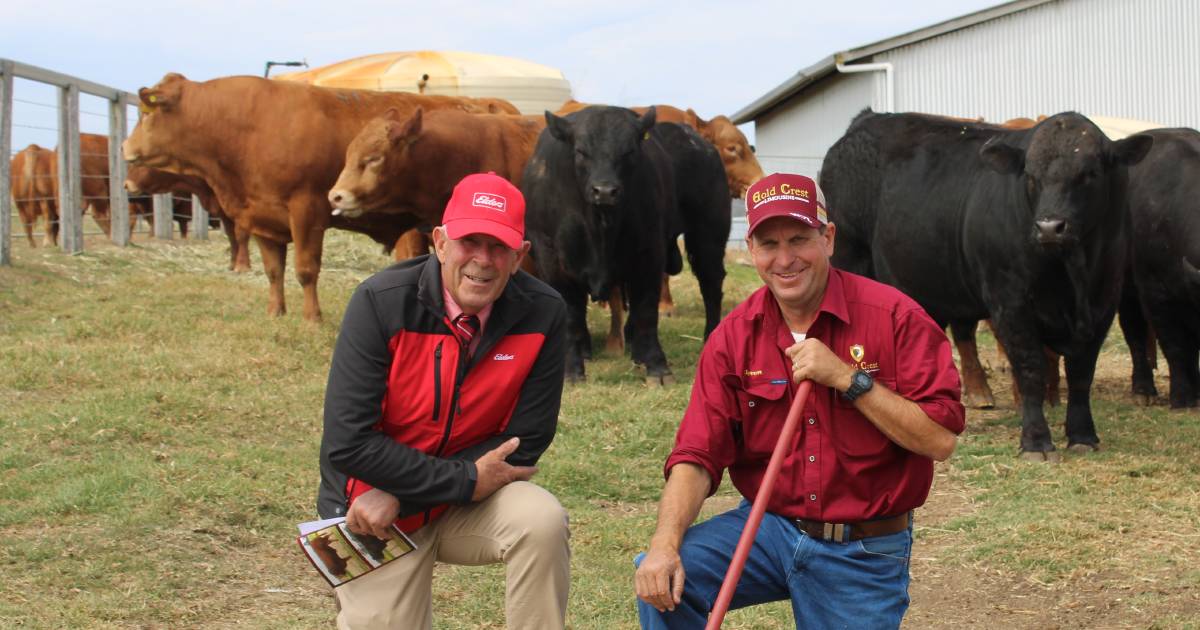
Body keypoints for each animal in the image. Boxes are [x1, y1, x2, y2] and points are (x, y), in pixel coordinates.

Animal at [520, 106, 724, 384]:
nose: (605, 191)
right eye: (581, 151)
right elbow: (571, 315)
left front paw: (657, 368)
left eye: (629, 151)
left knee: (711, 286)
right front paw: (571, 370)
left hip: (708, 235)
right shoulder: (550, 256)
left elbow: (647, 310)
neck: (599, 227)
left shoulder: (650, 252)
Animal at [825, 111, 1152, 456]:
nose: (1050, 227)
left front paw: (1082, 435)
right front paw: (1036, 440)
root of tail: (866, 120)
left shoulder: (1103, 301)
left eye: (1089, 173)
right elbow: (1030, 367)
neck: (1072, 275)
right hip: (850, 258)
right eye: (1030, 175)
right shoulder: (1010, 301)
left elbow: (1081, 371)